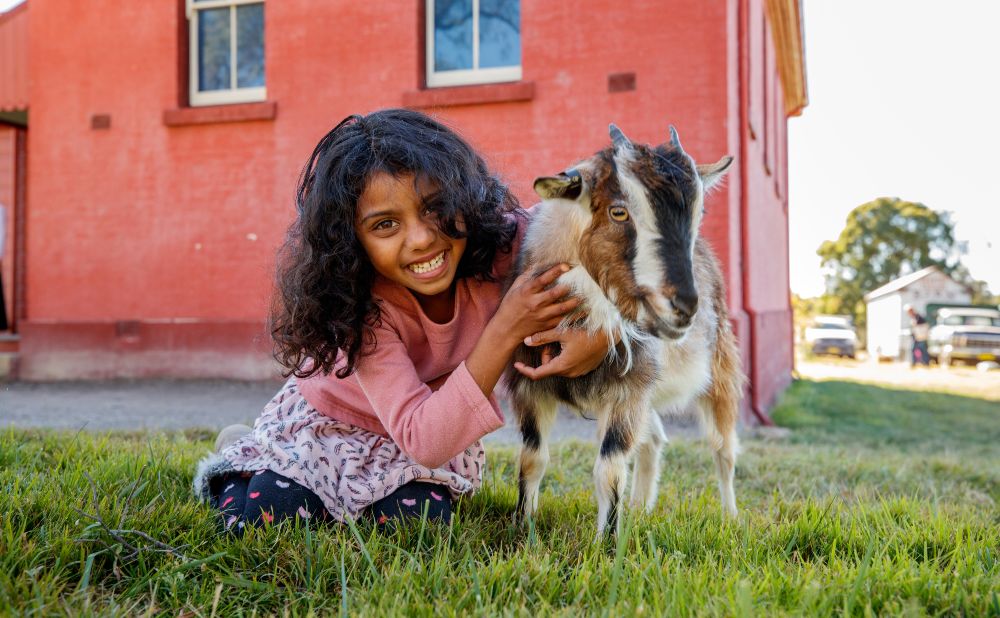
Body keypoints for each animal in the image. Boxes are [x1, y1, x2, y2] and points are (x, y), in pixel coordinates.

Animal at [504, 123, 743, 537]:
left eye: (699, 214)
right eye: (618, 211)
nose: (684, 307)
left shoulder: (626, 391)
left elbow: (609, 470)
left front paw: (606, 542)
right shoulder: (529, 386)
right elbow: (532, 458)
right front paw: (523, 527)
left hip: (720, 370)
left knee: (723, 449)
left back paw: (729, 518)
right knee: (654, 440)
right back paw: (641, 509)